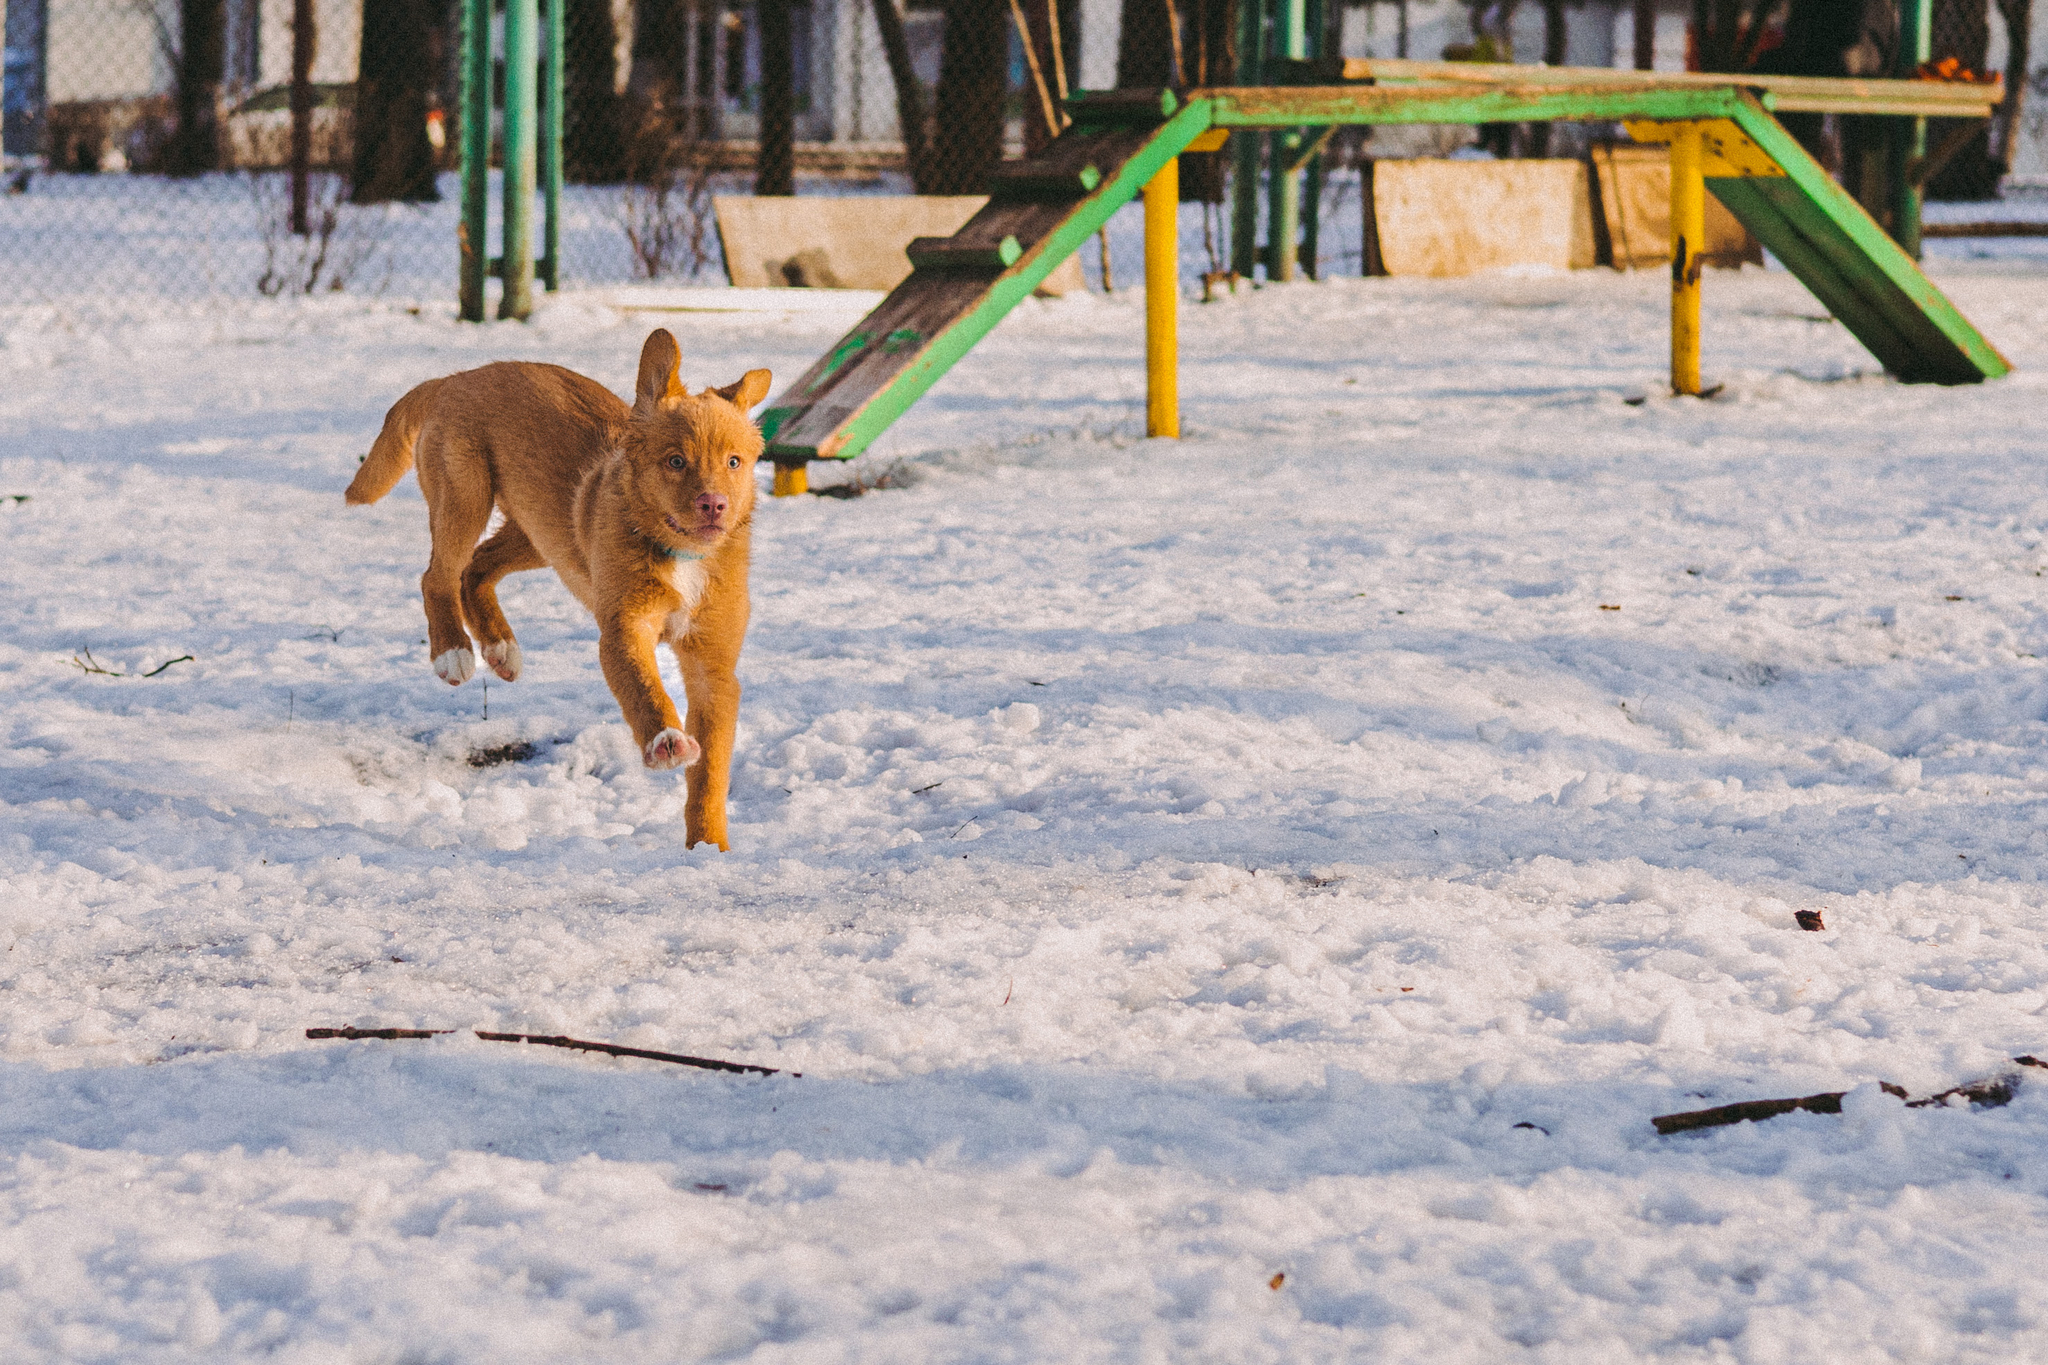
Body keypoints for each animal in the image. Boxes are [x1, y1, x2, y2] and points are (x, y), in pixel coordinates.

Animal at [348, 325, 770, 847]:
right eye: (675, 461)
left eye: (734, 462)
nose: (714, 504)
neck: (682, 556)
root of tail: (458, 376)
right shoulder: (623, 631)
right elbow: (645, 688)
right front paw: (666, 740)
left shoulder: (714, 670)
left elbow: (710, 771)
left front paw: (708, 846)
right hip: (466, 496)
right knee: (438, 575)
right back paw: (453, 652)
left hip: (543, 532)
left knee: (476, 568)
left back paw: (500, 648)